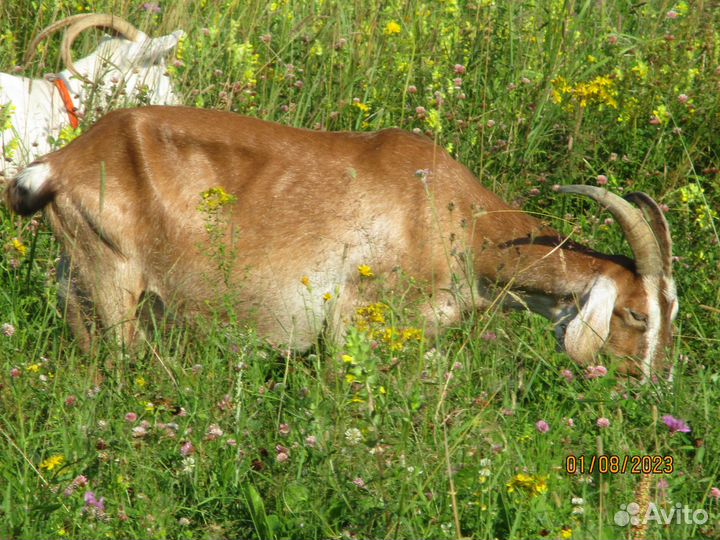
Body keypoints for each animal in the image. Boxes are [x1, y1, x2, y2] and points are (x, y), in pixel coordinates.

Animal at [4, 106, 678, 377]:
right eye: (637, 314)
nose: (649, 384)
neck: (452, 219)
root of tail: (57, 164)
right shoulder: (357, 322)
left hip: (76, 279)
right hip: (112, 280)